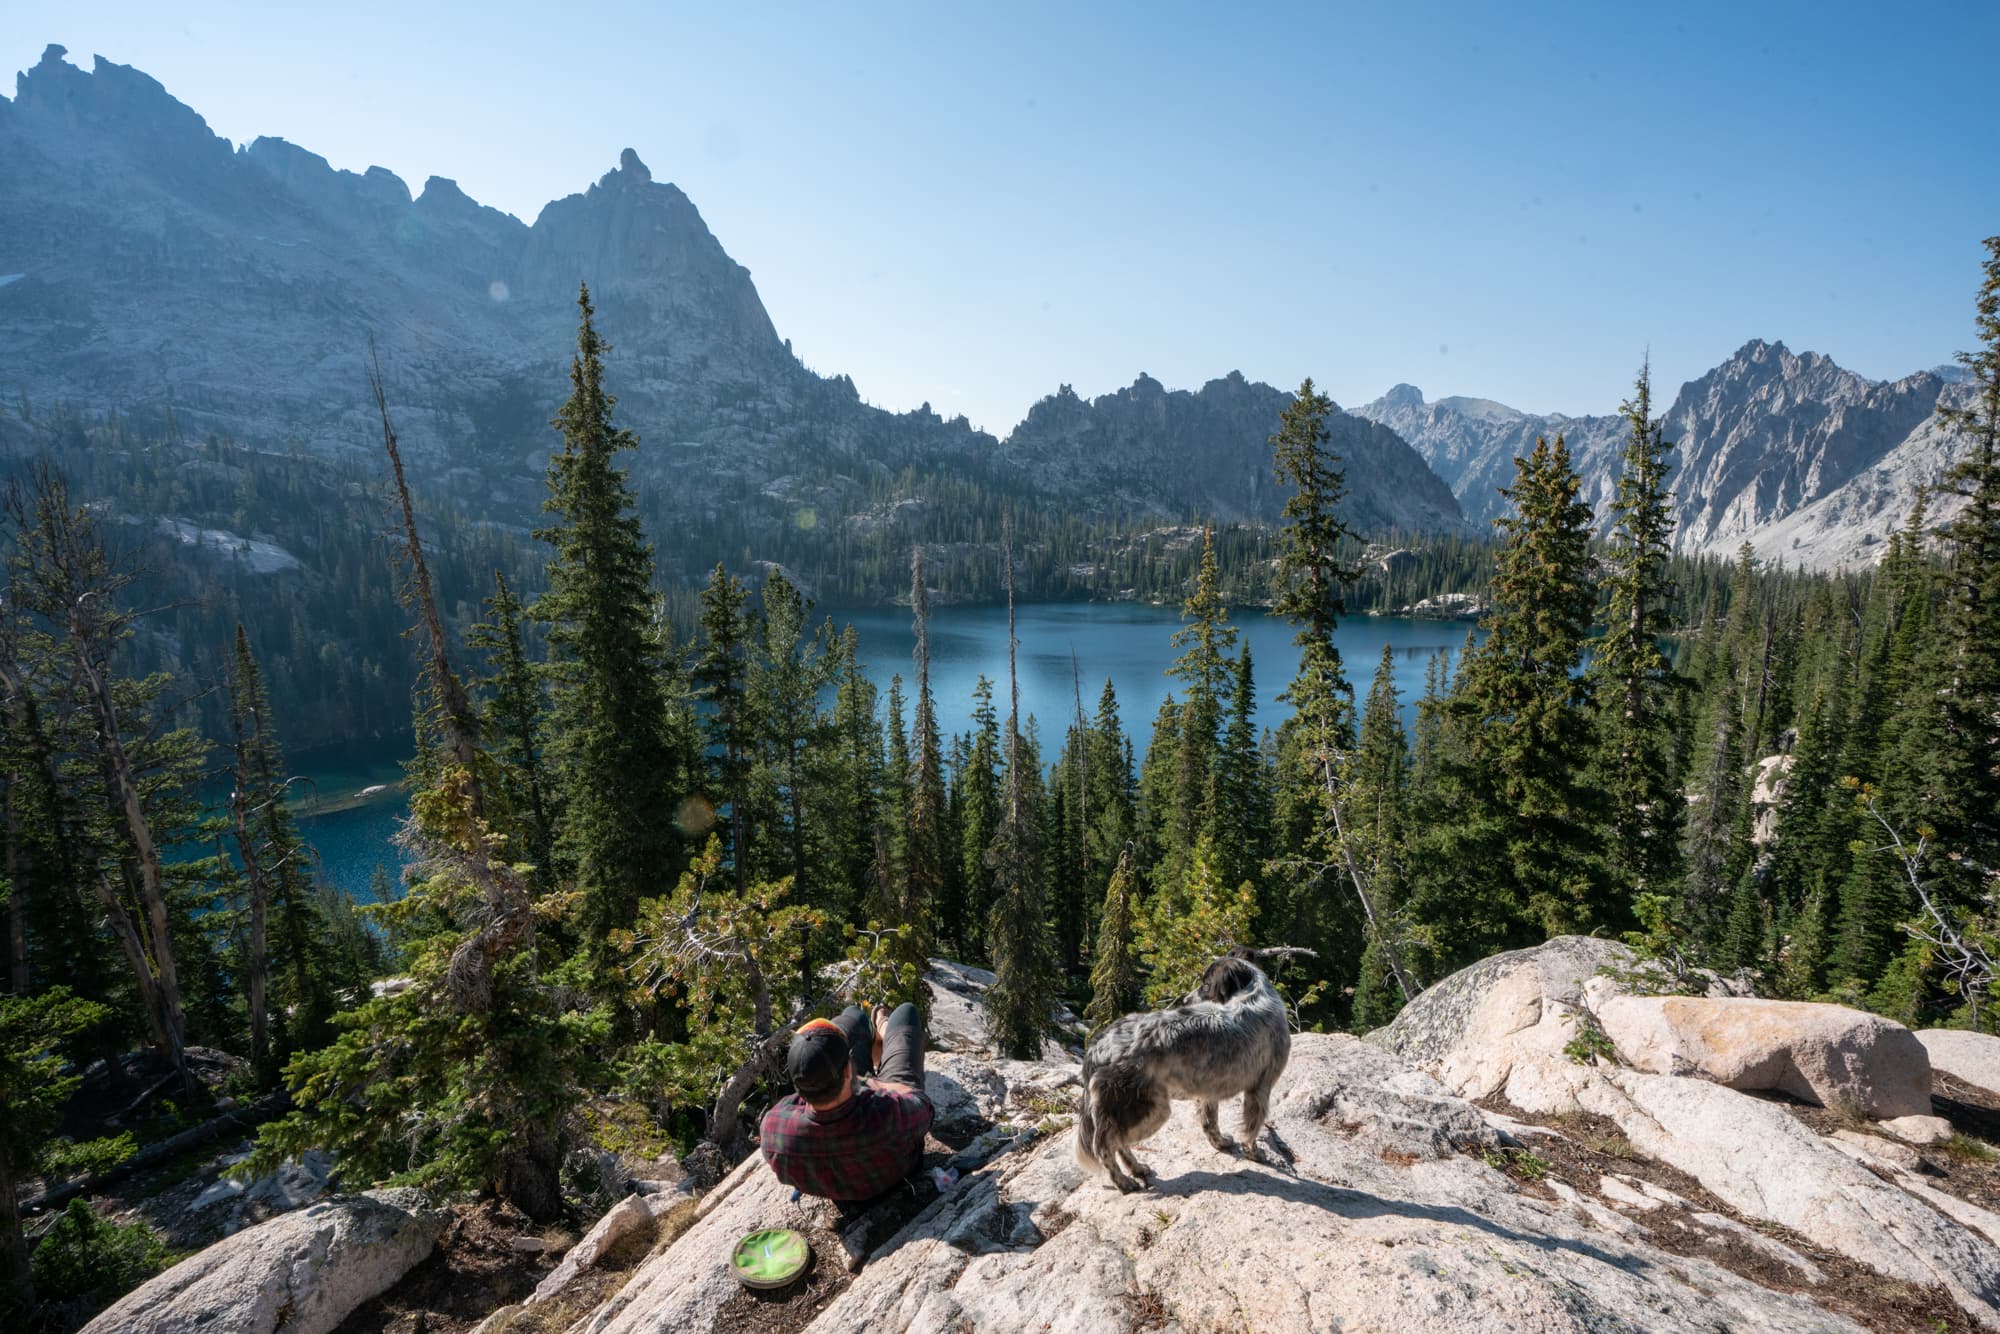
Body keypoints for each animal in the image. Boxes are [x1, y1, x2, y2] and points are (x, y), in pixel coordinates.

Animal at [1072, 956, 1288, 1192]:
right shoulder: (1260, 1088)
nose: (1186, 999)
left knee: (1118, 1143)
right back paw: (1123, 1182)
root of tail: (1098, 1047)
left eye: (1206, 985)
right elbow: (1251, 1129)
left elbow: (1209, 1121)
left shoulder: (1209, 1090)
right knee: (1106, 1146)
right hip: (1151, 1110)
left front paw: (1220, 1143)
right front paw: (1255, 1154)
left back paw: (1137, 1168)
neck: (1253, 995)